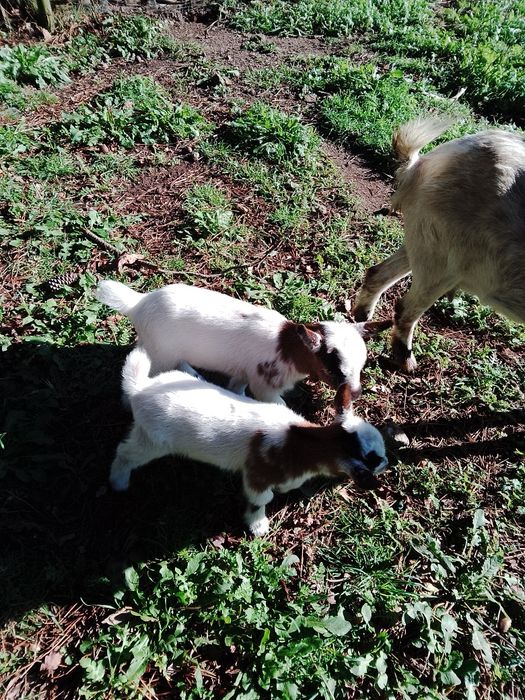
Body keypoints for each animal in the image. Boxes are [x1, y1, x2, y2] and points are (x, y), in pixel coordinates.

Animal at [96, 280, 391, 403]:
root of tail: (138, 304)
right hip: (160, 353)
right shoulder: (265, 385)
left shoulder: (243, 372)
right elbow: (276, 403)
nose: (356, 393)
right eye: (333, 368)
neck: (288, 346)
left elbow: (237, 387)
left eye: (362, 366)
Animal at [109, 347, 388, 536]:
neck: (296, 440)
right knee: (124, 453)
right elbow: (260, 500)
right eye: (373, 459)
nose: (386, 462)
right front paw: (258, 526)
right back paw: (119, 483)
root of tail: (140, 390)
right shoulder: (258, 475)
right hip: (152, 440)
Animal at [353, 119, 525, 372]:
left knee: (378, 272)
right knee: (405, 307)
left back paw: (361, 317)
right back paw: (408, 363)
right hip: (445, 258)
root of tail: (422, 165)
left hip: (426, 239)